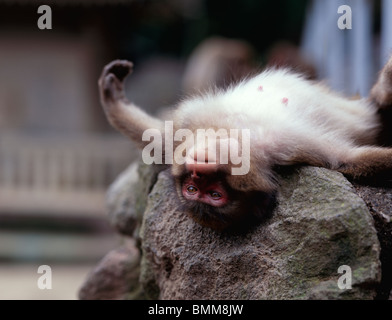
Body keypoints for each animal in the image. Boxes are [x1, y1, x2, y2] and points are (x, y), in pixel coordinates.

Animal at [98, 57, 392, 230]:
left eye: (208, 191)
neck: (236, 133)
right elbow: (345, 159)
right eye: (197, 191)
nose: (198, 170)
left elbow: (155, 137)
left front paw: (112, 95)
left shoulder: (184, 133)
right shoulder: (296, 147)